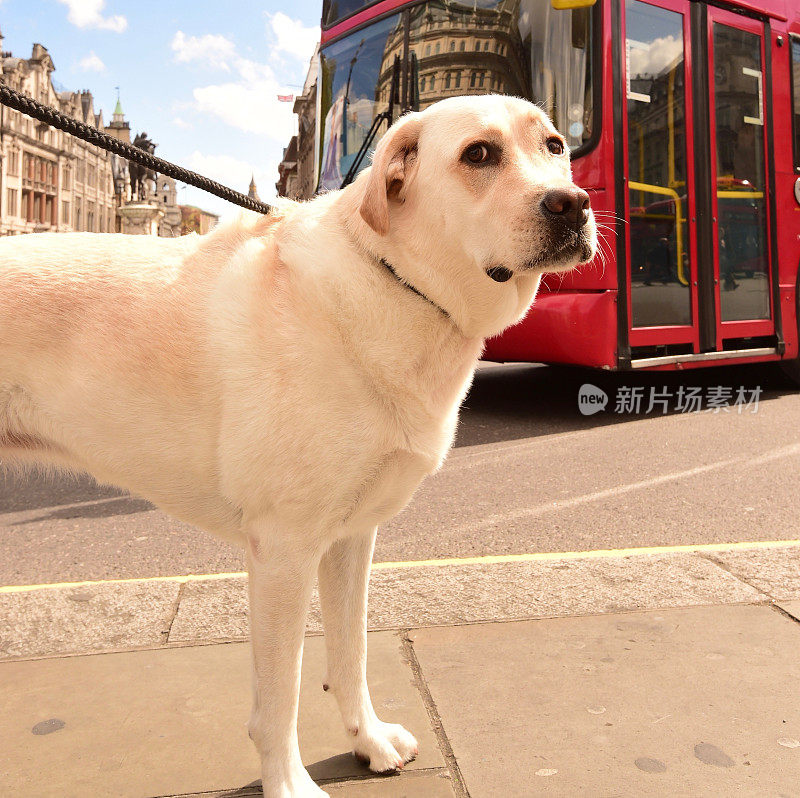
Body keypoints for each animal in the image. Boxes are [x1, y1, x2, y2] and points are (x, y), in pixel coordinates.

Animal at [1, 95, 592, 798]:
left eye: (554, 145)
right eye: (479, 153)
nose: (573, 203)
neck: (392, 281)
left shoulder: (350, 538)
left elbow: (351, 650)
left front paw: (368, 741)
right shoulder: (283, 546)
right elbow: (281, 693)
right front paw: (288, 783)